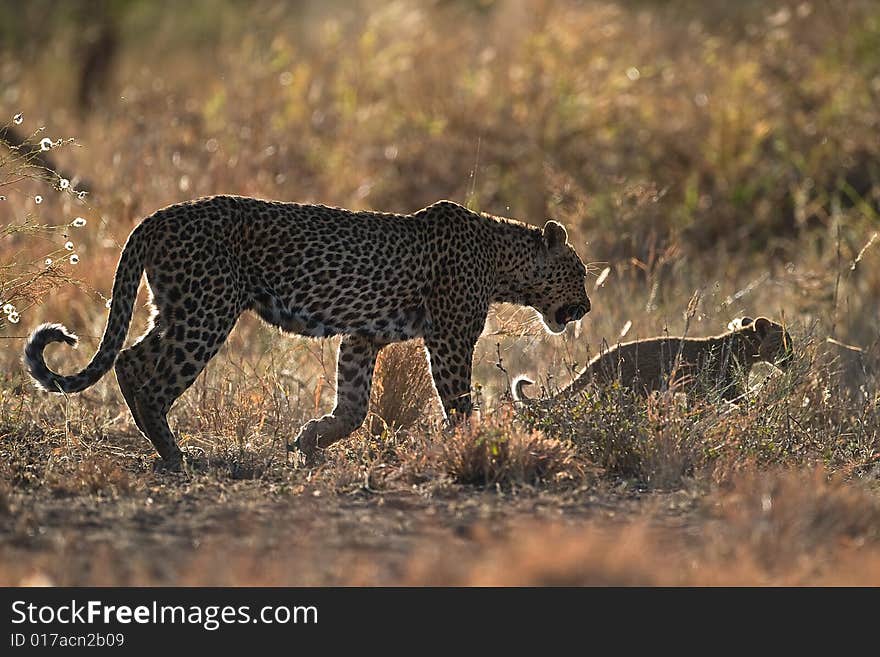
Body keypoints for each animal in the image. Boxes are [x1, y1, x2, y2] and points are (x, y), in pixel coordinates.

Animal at [24, 195, 592, 466]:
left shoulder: (363, 336)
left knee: (130, 359)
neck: (503, 261)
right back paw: (173, 453)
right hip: (207, 311)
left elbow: (355, 406)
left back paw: (158, 441)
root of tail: (157, 217)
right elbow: (458, 402)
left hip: (176, 308)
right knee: (147, 373)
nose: (586, 307)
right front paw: (476, 446)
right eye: (580, 273)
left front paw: (312, 438)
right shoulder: (450, 338)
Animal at [512, 316, 796, 402]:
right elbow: (746, 401)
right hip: (629, 391)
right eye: (786, 341)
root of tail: (598, 359)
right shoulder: (725, 388)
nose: (793, 358)